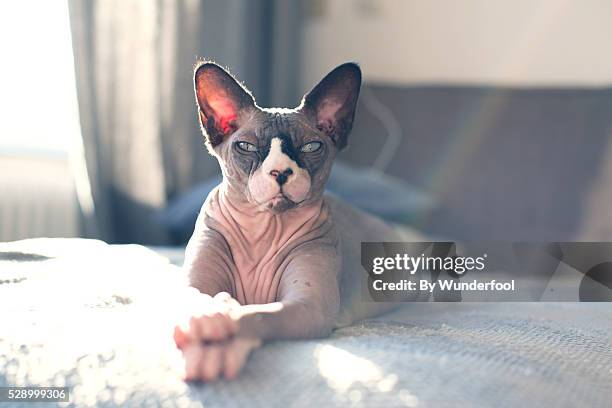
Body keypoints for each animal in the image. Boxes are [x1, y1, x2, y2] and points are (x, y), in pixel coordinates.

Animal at [173, 61, 402, 382]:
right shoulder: (190, 288)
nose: (280, 172)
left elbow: (257, 313)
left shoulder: (308, 306)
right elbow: (199, 302)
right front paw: (209, 322)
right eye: (245, 146)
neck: (262, 233)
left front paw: (218, 336)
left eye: (311, 147)